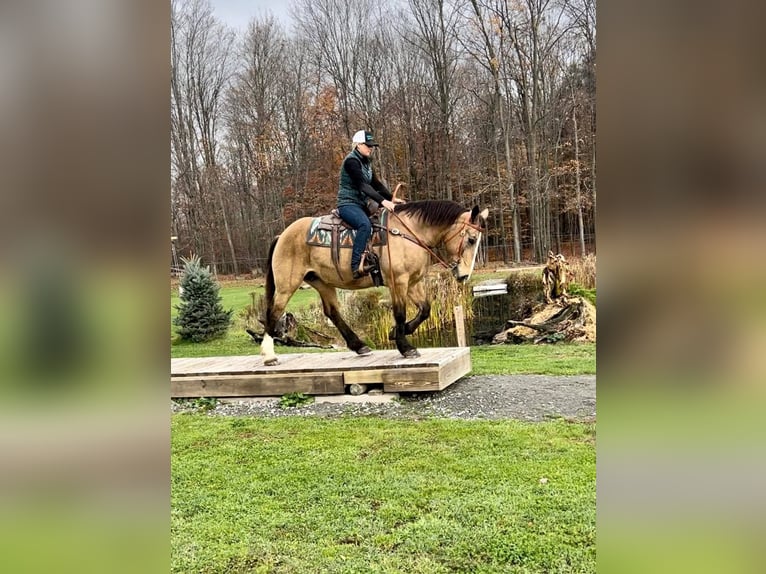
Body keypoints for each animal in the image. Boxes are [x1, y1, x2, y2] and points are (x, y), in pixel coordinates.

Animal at [262, 200, 492, 366]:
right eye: (471, 239)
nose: (464, 275)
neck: (408, 233)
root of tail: (283, 235)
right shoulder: (398, 282)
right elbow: (399, 313)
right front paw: (405, 346)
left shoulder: (413, 282)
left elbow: (425, 310)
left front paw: (397, 332)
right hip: (287, 285)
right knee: (274, 311)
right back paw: (268, 355)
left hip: (322, 282)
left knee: (332, 312)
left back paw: (359, 345)